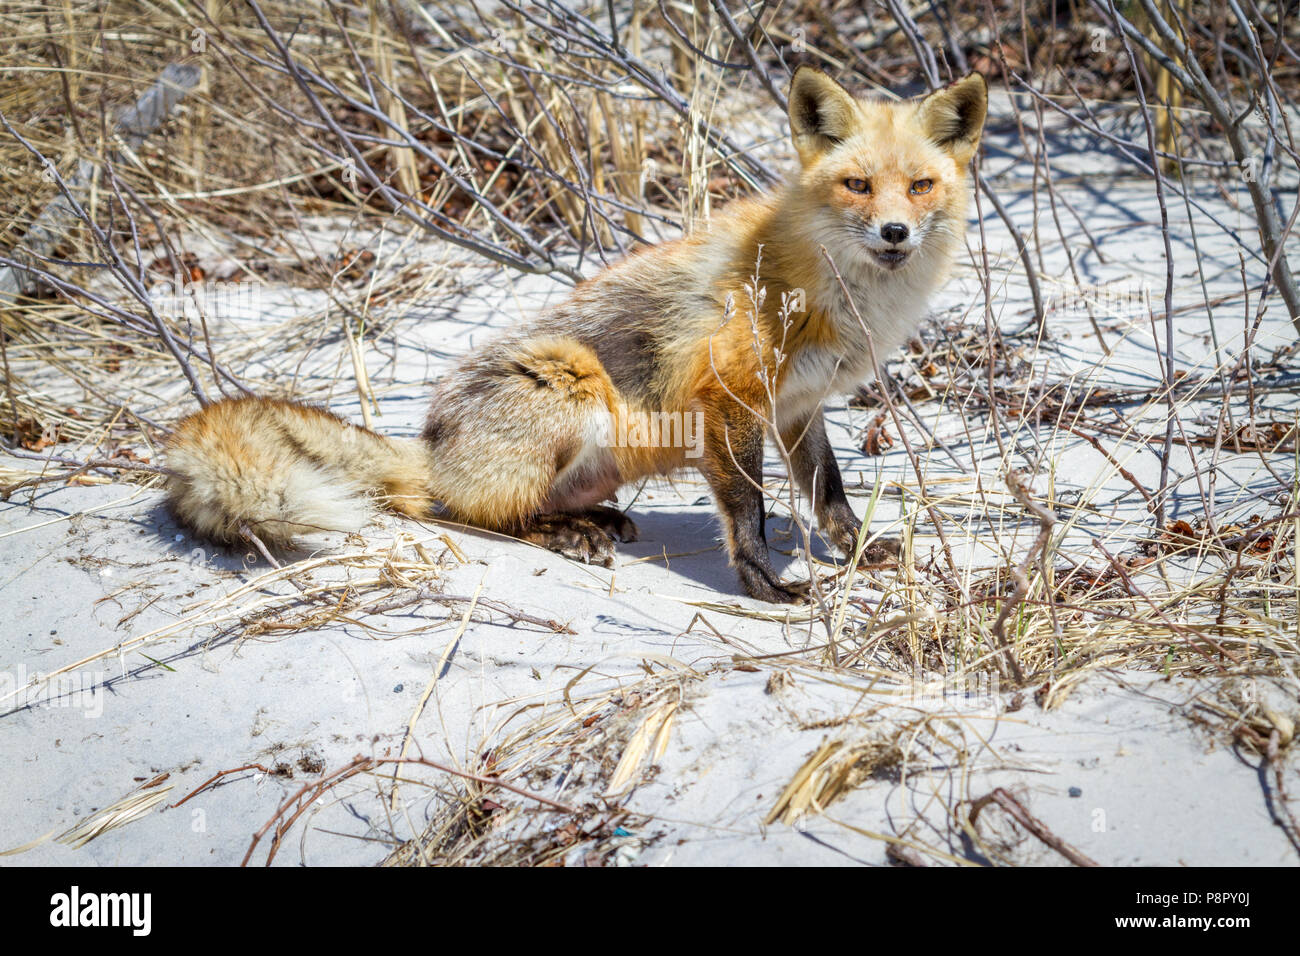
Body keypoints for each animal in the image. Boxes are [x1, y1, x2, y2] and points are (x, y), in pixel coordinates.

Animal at [165, 69, 982, 606]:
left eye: (919, 186)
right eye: (856, 186)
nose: (896, 232)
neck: (829, 291)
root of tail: (430, 443)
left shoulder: (797, 407)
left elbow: (830, 492)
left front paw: (859, 552)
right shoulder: (728, 399)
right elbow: (746, 511)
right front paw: (763, 582)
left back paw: (588, 520)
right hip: (570, 377)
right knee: (465, 513)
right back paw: (557, 533)